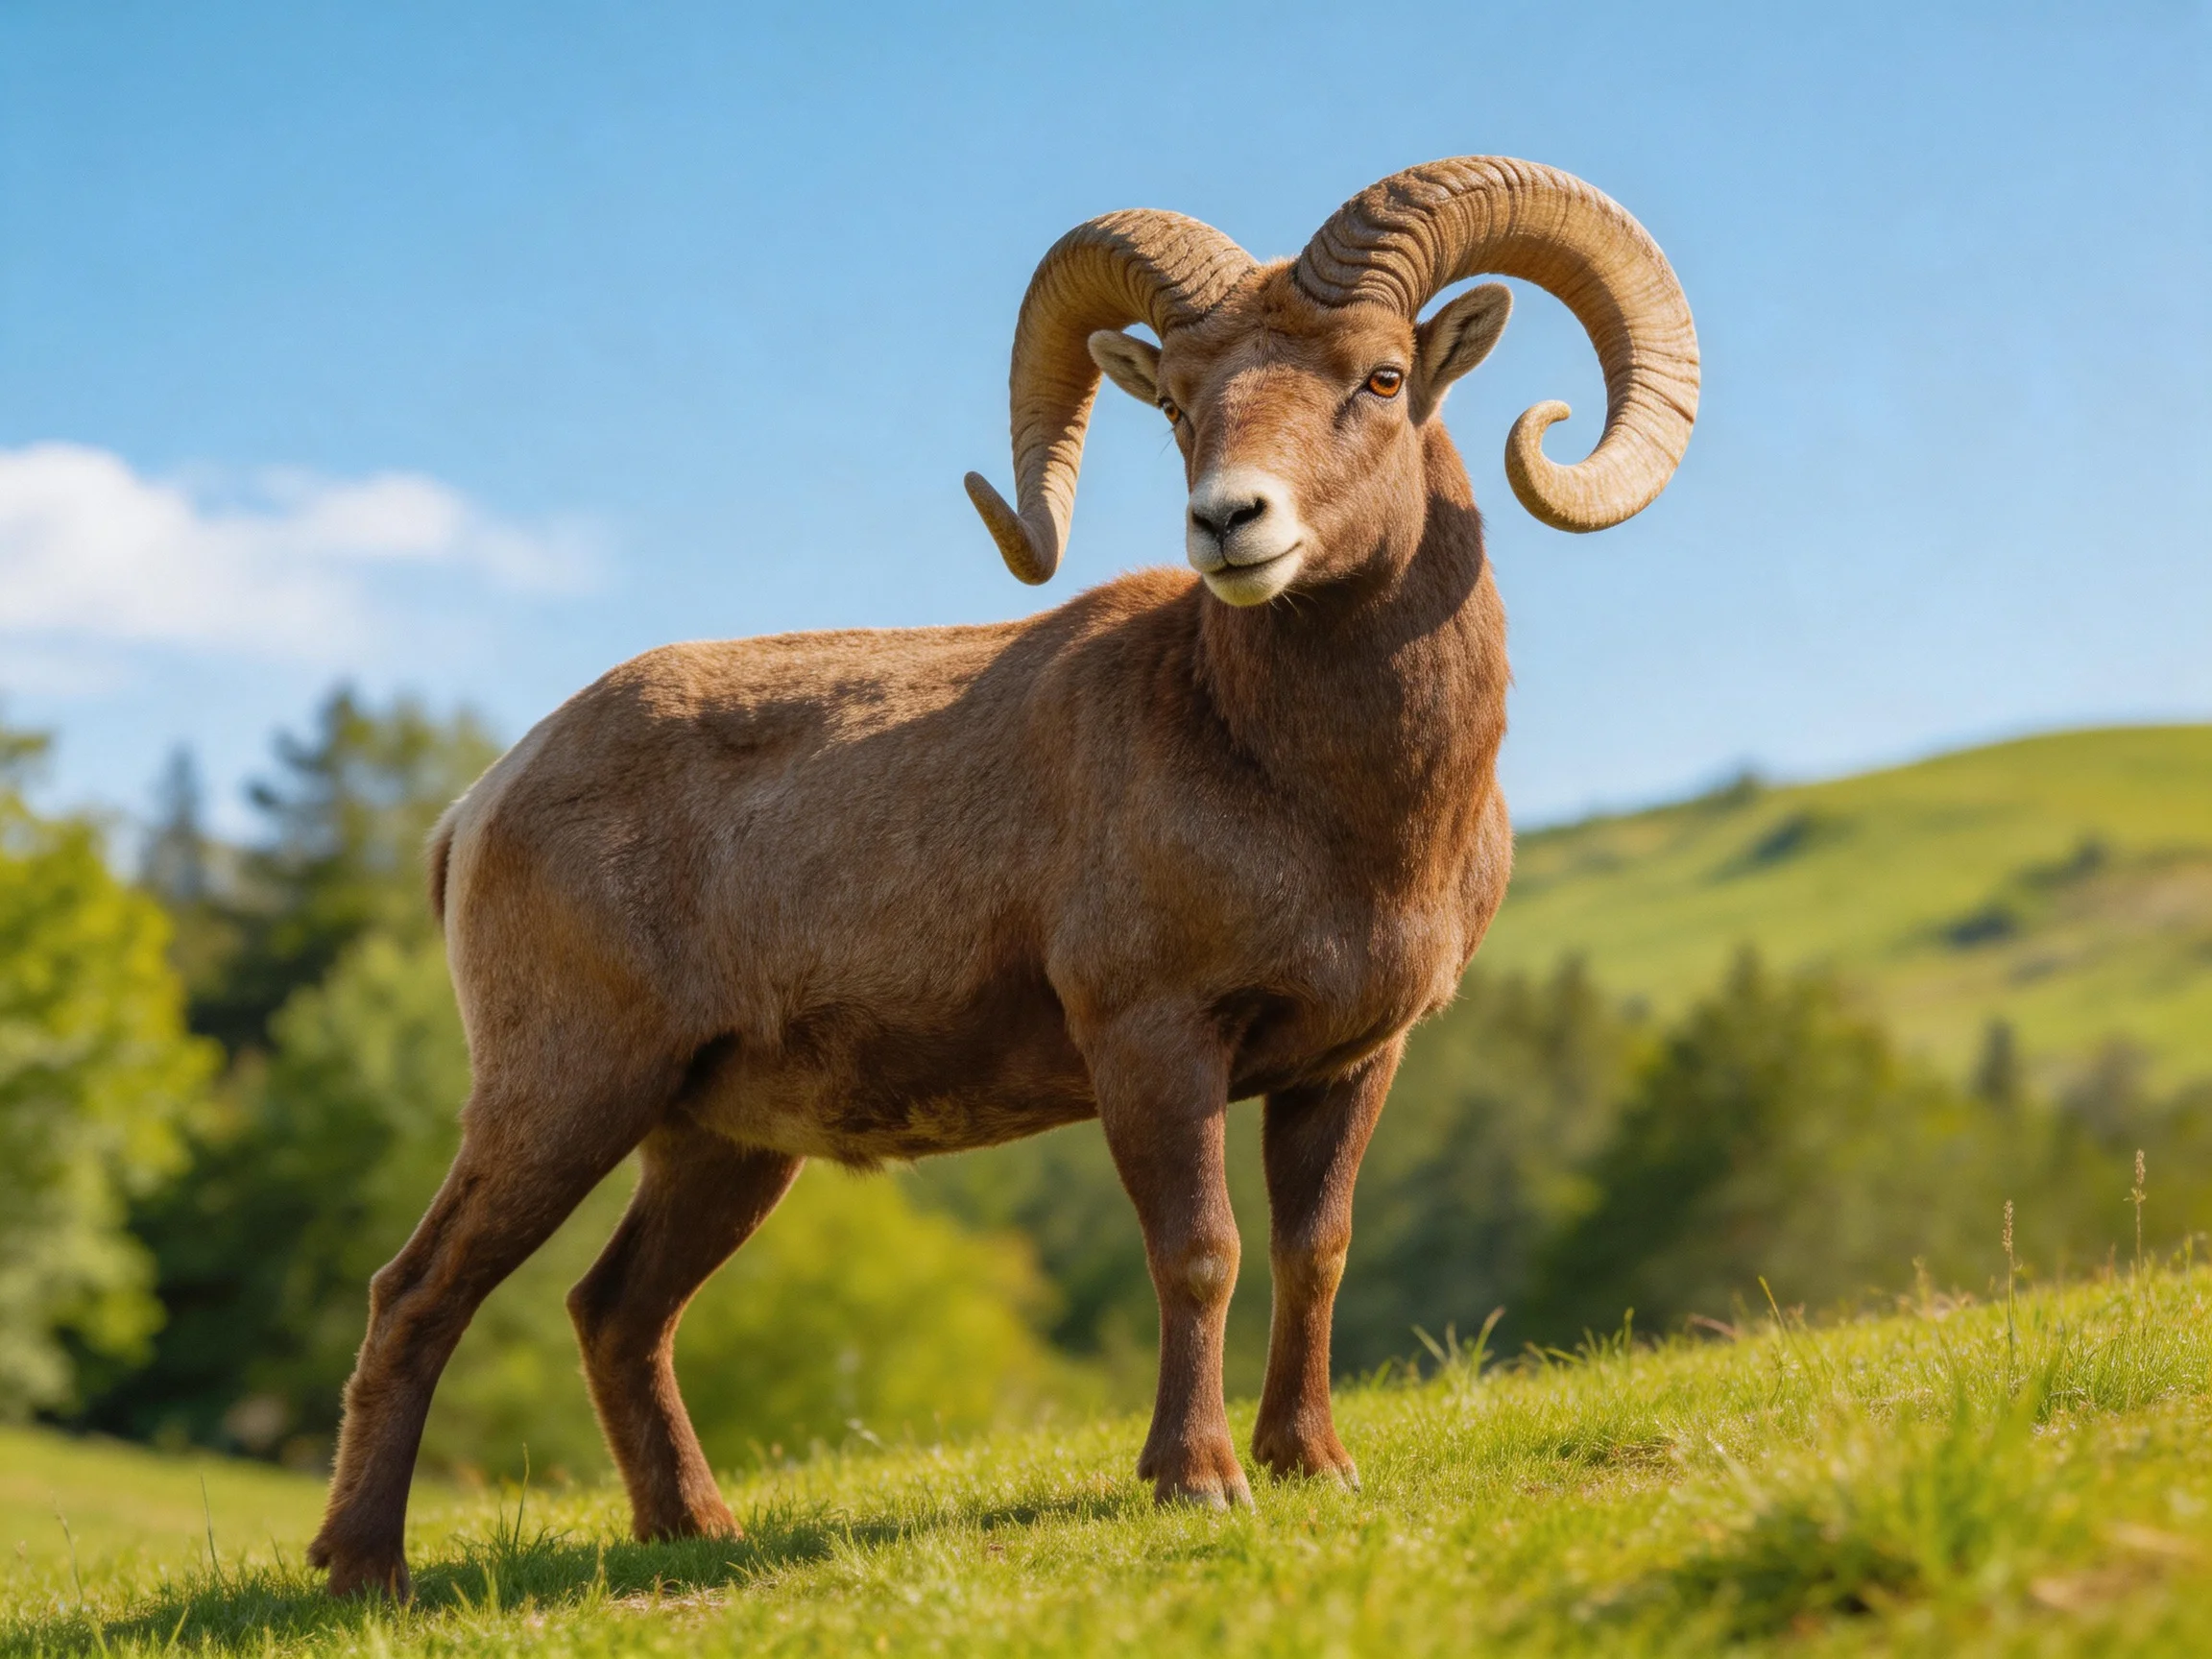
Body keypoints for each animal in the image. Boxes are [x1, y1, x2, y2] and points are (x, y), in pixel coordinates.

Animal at [307, 156, 1698, 1598]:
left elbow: (1315, 1251)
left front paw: (1312, 1464)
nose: (1230, 523)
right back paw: (364, 1571)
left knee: (615, 1311)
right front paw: (1197, 1482)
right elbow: (1199, 1252)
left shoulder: (1349, 1061)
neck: (1329, 806)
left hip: (714, 1147)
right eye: (1180, 404)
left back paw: (695, 1532)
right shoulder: (1153, 1038)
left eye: (1378, 375)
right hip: (563, 1095)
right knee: (419, 1292)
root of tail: (479, 806)